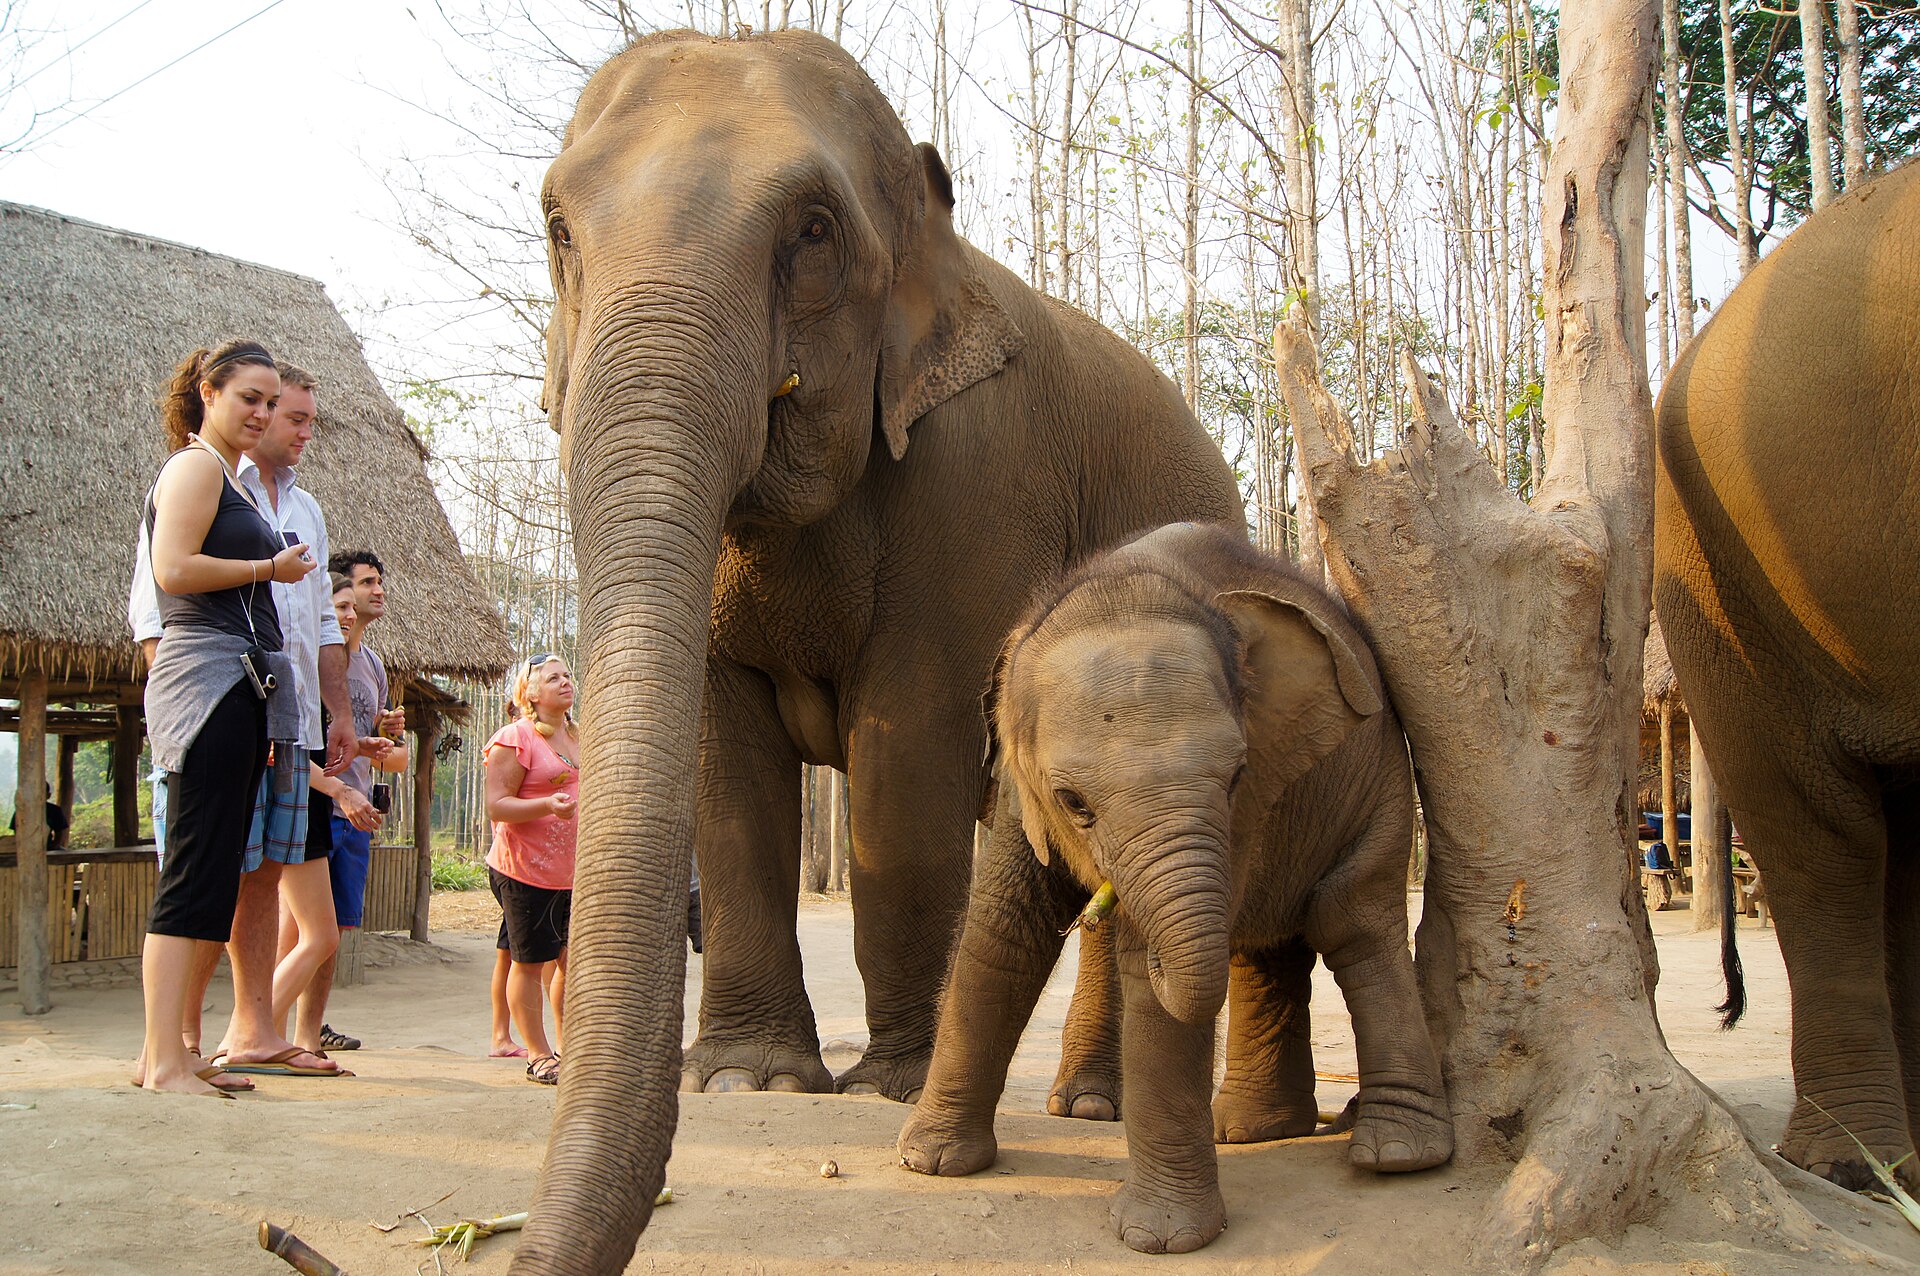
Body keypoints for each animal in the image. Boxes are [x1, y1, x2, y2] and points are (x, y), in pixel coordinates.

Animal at [515, 28, 1242, 1273]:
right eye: (560, 227)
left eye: (813, 230)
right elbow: (725, 770)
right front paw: (753, 1080)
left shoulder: (979, 479)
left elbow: (906, 761)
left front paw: (889, 1087)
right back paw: (1080, 1103)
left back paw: (1090, 1107)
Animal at [899, 522, 1452, 1254]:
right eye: (1073, 802)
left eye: (1236, 775)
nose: (1103, 902)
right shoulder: (1021, 791)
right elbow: (1004, 927)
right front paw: (930, 1163)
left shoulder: (1251, 799)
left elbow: (1148, 976)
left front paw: (1161, 1239)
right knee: (1264, 949)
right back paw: (1249, 1129)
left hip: (1384, 781)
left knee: (1351, 921)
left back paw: (1396, 1154)